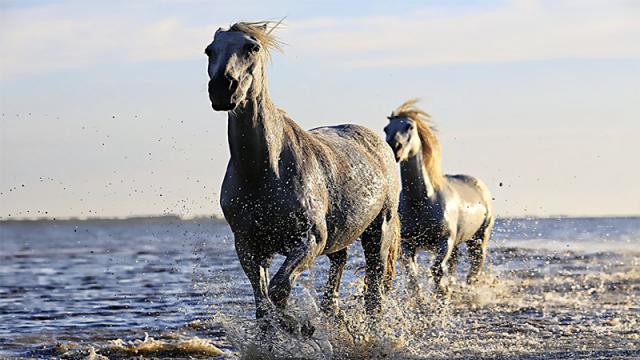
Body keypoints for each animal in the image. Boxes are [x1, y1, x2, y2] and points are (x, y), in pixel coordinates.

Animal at [205, 21, 400, 332]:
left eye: (252, 47)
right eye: (210, 50)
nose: (223, 88)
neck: (264, 172)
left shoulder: (309, 240)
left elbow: (279, 290)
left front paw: (298, 327)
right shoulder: (248, 247)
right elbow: (263, 306)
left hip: (378, 232)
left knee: (374, 293)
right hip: (340, 237)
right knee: (339, 266)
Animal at [382, 99, 492, 296]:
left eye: (409, 126)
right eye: (386, 129)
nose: (394, 147)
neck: (421, 201)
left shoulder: (444, 241)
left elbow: (437, 271)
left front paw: (442, 294)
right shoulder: (408, 245)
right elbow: (412, 276)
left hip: (479, 238)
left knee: (475, 266)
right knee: (455, 263)